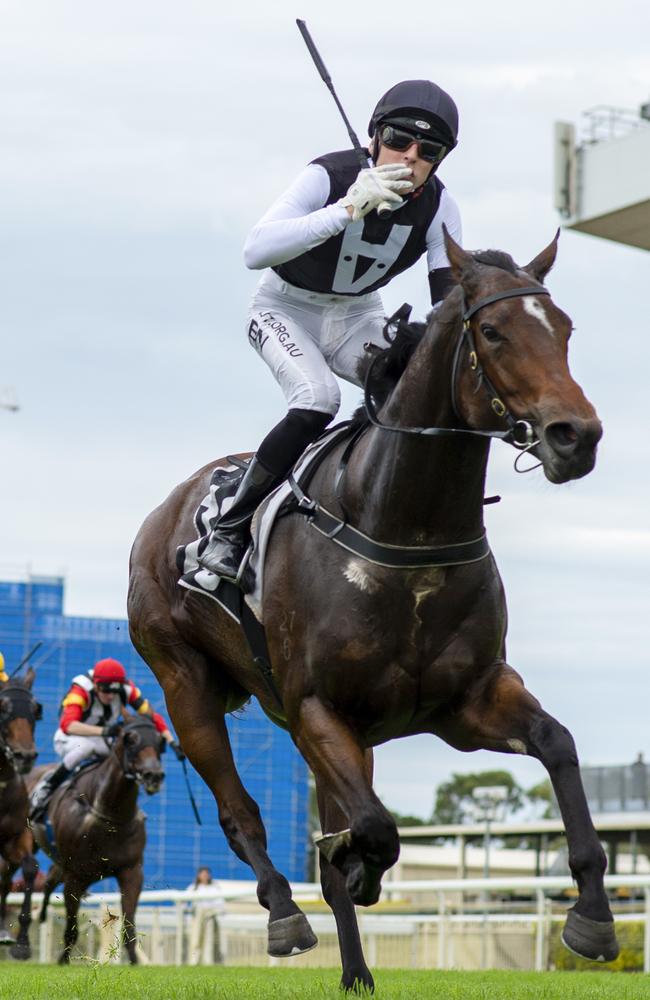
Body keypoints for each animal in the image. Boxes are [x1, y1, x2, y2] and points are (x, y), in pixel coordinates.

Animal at [28, 716, 165, 964]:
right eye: (130, 739)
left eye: (160, 741)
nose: (154, 775)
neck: (110, 815)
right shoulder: (76, 876)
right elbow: (71, 929)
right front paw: (62, 961)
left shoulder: (131, 871)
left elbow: (129, 925)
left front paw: (134, 962)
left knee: (50, 878)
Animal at [129, 230, 616, 988]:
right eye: (494, 332)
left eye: (564, 329)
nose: (576, 435)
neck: (407, 530)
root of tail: (165, 511)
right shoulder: (317, 707)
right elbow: (375, 832)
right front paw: (356, 866)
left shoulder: (465, 702)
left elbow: (557, 743)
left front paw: (592, 915)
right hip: (186, 684)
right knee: (241, 813)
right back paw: (284, 914)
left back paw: (356, 972)